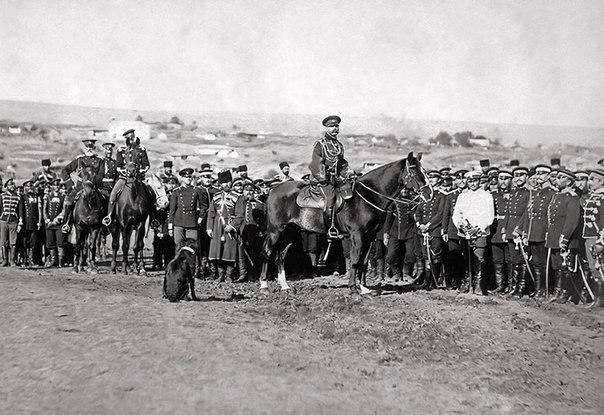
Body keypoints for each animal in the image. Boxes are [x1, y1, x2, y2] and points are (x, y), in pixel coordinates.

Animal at [260, 151, 430, 294]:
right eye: (414, 170)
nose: (429, 193)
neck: (367, 196)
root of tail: (273, 190)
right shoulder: (357, 235)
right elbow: (355, 259)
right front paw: (353, 288)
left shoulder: (370, 236)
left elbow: (364, 261)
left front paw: (363, 288)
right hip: (275, 230)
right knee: (267, 251)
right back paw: (264, 285)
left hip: (290, 232)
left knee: (281, 254)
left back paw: (284, 285)